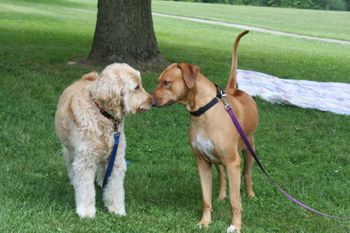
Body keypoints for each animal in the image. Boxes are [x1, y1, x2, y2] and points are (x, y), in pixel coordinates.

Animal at [55, 62, 152, 218]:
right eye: (137, 87)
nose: (152, 101)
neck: (103, 114)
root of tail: (87, 78)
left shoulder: (117, 158)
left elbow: (115, 188)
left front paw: (116, 209)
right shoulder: (85, 160)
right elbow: (86, 190)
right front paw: (86, 211)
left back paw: (101, 180)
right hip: (69, 149)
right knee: (71, 164)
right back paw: (74, 179)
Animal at [150, 31, 258, 233]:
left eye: (167, 82)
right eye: (158, 82)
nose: (150, 100)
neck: (203, 110)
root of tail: (234, 89)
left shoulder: (233, 163)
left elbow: (235, 201)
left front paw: (236, 225)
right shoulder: (202, 161)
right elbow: (206, 198)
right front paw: (205, 221)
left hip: (249, 150)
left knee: (247, 174)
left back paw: (250, 194)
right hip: (214, 157)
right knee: (221, 174)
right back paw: (221, 195)